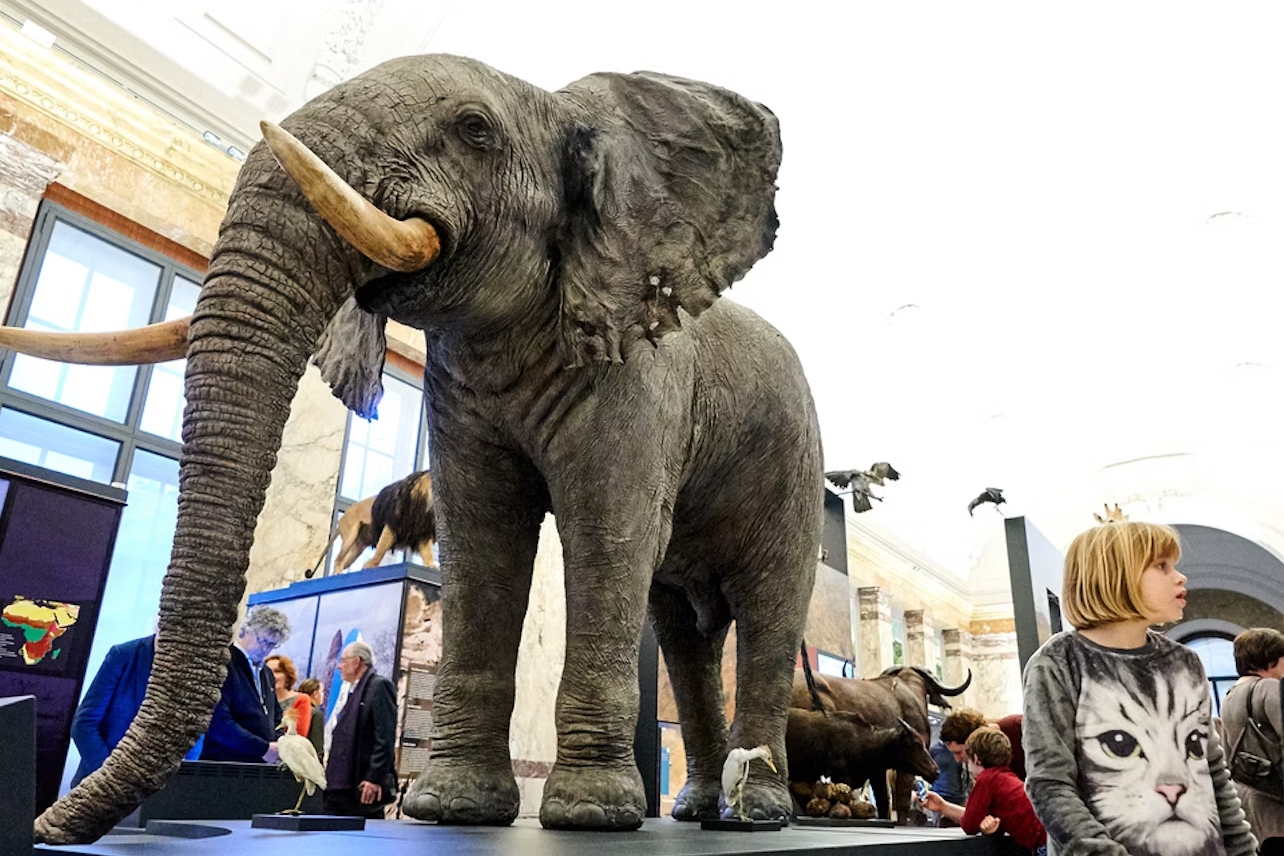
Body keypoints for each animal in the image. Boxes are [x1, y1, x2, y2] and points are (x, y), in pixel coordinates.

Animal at [15, 55, 821, 841]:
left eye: (474, 130)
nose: (49, 826)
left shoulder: (640, 376)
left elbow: (609, 531)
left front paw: (590, 815)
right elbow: (482, 539)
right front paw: (452, 808)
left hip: (794, 462)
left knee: (766, 608)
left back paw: (758, 812)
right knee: (683, 633)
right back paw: (697, 810)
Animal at [790, 667, 970, 821]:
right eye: (917, 745)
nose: (935, 771)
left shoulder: (877, 769)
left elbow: (883, 800)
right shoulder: (906, 768)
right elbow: (901, 801)